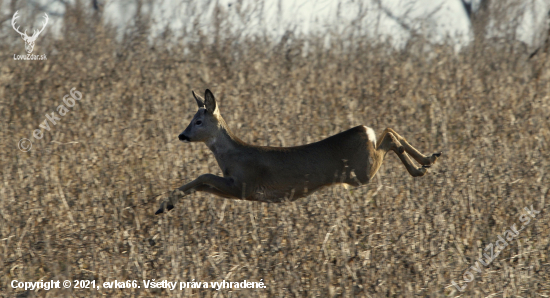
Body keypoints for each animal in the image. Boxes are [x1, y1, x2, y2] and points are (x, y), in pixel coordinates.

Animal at [157, 89, 442, 214]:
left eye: (198, 121)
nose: (182, 135)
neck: (232, 156)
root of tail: (364, 129)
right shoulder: (238, 187)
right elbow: (202, 183)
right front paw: (167, 205)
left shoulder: (245, 186)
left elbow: (204, 176)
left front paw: (164, 204)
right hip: (363, 166)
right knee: (389, 131)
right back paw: (428, 161)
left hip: (361, 172)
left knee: (389, 137)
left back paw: (423, 165)